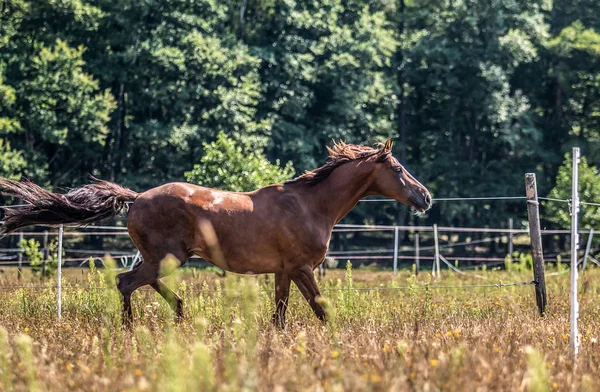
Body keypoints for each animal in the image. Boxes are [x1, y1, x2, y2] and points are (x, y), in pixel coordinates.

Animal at [1, 139, 432, 326]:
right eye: (397, 169)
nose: (425, 197)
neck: (310, 205)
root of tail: (136, 197)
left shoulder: (283, 271)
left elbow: (280, 314)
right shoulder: (301, 268)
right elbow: (322, 309)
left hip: (163, 257)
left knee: (142, 282)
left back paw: (179, 312)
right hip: (167, 257)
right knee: (126, 282)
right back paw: (133, 327)